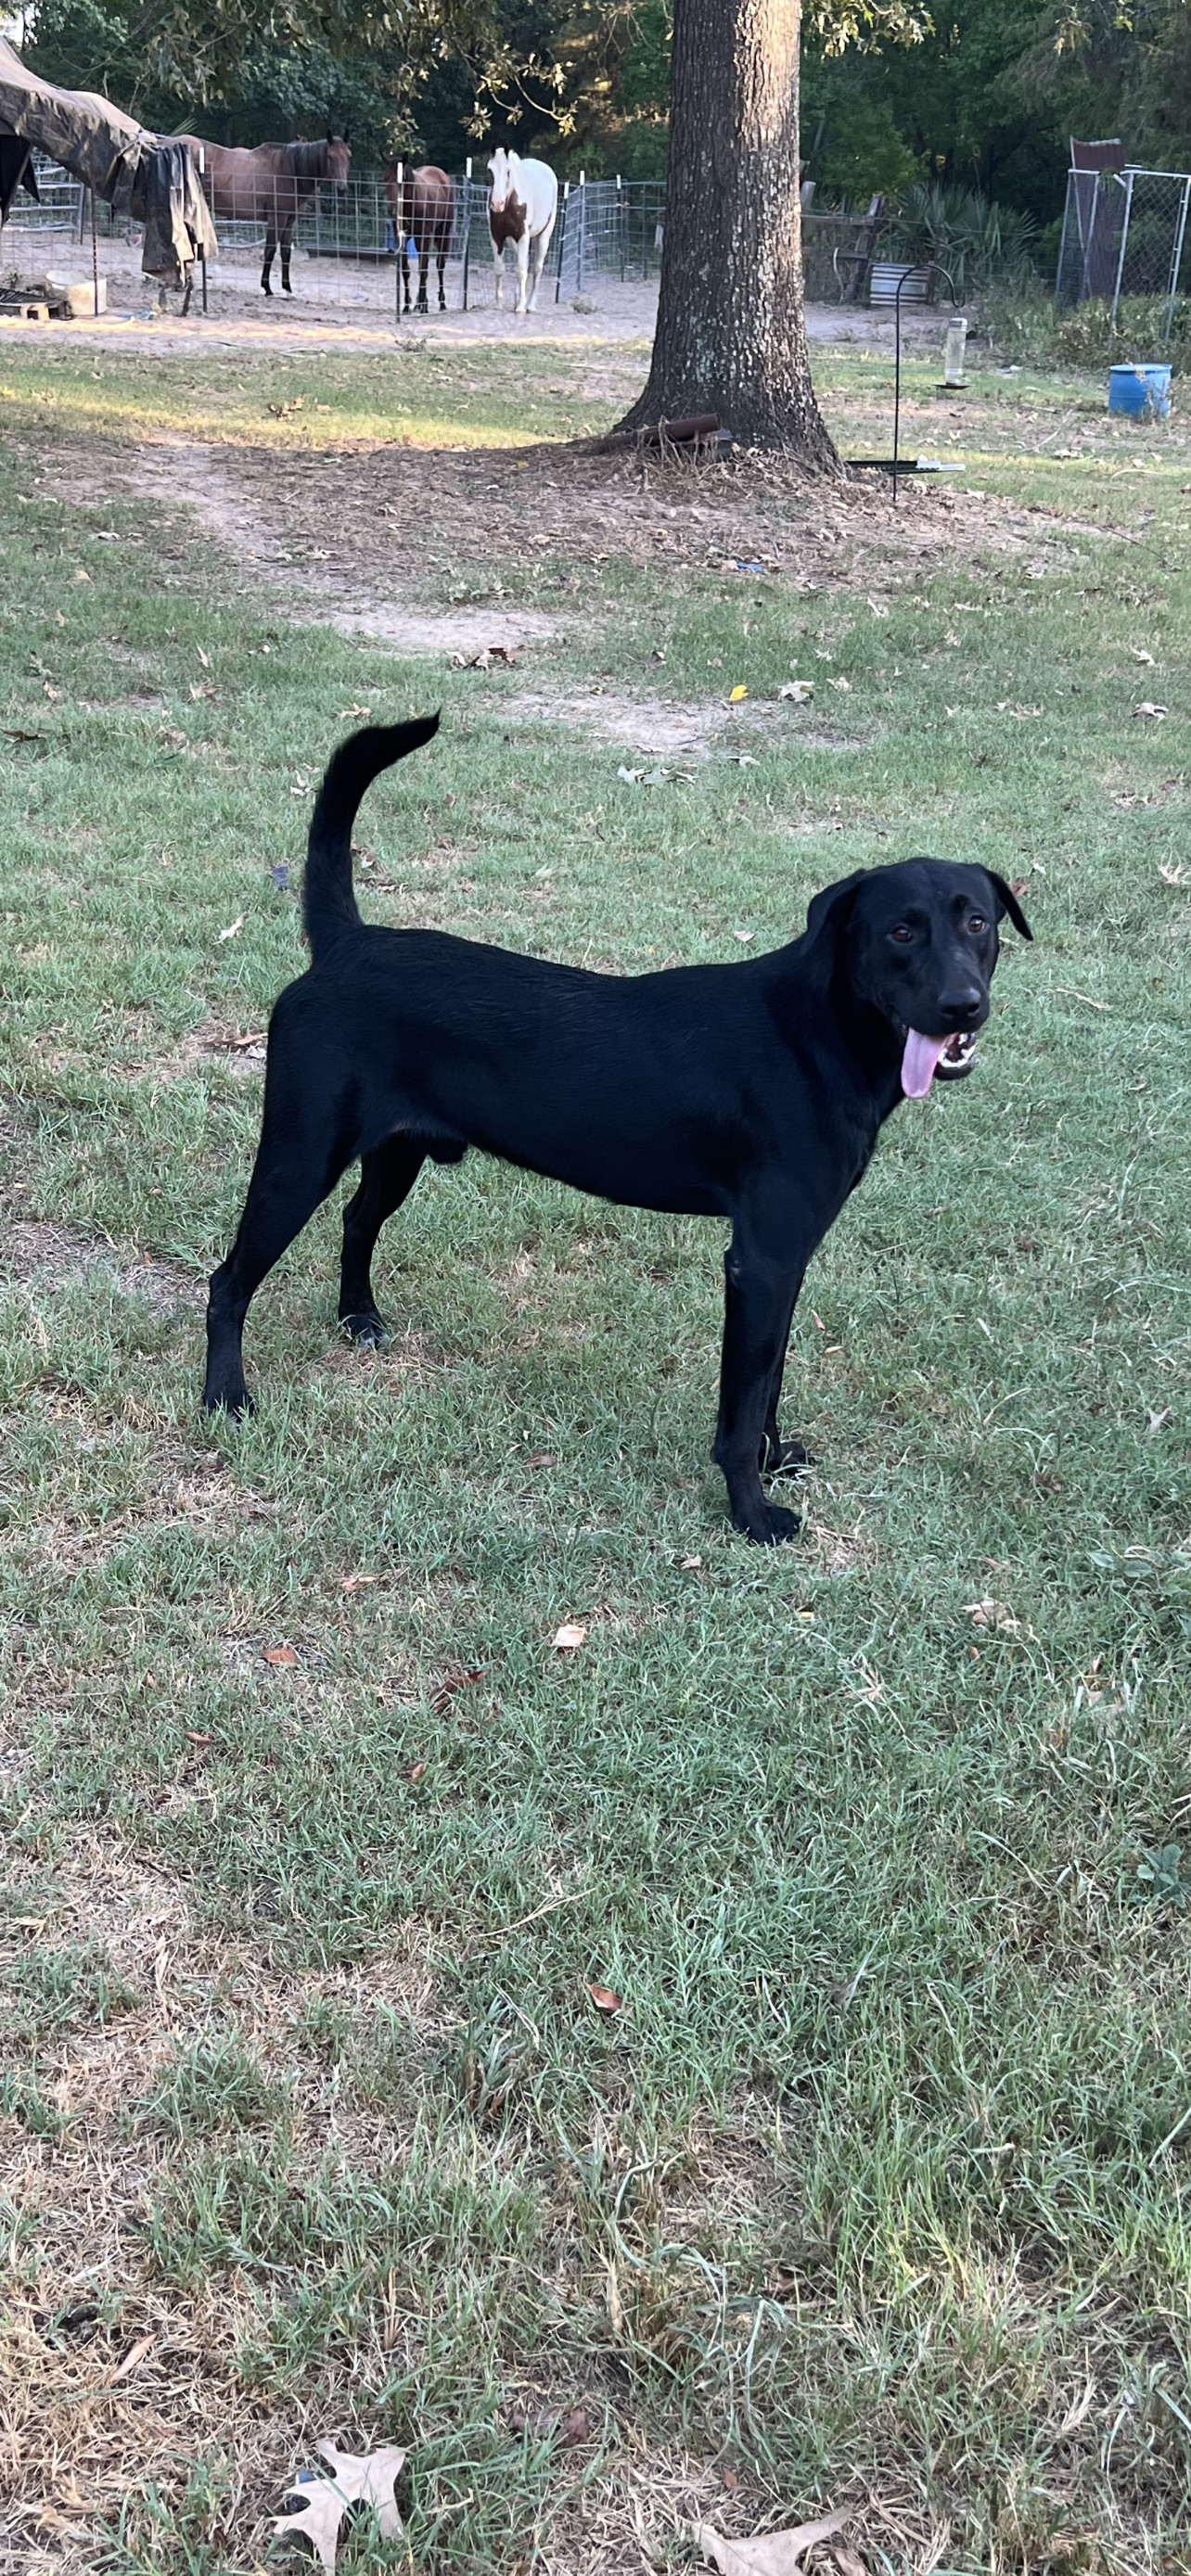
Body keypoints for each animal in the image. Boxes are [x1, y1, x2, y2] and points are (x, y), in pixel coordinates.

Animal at [173, 134, 348, 296]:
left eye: (348, 156)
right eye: (330, 156)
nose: (342, 189)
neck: (290, 170)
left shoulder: (289, 221)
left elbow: (286, 252)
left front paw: (287, 288)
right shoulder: (277, 218)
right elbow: (270, 250)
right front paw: (267, 287)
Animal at [199, 716, 1026, 1535]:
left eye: (977, 922)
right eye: (899, 933)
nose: (964, 1005)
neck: (819, 1030)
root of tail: (348, 942)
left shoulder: (787, 1259)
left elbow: (771, 1377)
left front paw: (773, 1458)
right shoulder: (760, 1260)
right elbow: (743, 1400)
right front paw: (751, 1510)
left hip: (396, 1153)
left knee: (356, 1221)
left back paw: (358, 1317)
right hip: (298, 1157)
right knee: (228, 1281)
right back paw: (224, 1398)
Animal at [384, 163, 454, 313]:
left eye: (402, 179)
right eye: (385, 178)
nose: (392, 210)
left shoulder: (423, 237)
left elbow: (423, 268)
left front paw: (423, 305)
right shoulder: (403, 238)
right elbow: (406, 269)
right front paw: (407, 306)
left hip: (443, 232)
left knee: (439, 265)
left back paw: (441, 304)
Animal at [484, 147, 559, 318]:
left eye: (508, 171)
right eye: (490, 169)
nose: (497, 203)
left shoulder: (523, 236)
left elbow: (522, 270)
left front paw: (521, 308)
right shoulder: (496, 237)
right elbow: (500, 269)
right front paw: (499, 304)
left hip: (543, 237)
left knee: (536, 268)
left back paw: (530, 305)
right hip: (514, 241)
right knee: (523, 261)